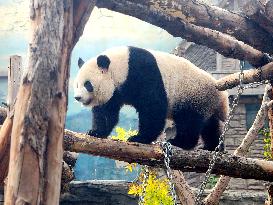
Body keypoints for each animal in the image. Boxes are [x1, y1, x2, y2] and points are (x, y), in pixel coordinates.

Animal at [73, 46, 227, 151]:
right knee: (210, 125)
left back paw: (180, 142)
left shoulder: (142, 72)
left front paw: (139, 138)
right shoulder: (114, 93)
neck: (120, 67)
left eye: (88, 84)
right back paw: (211, 147)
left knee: (189, 120)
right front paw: (96, 132)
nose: (77, 97)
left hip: (192, 94)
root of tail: (220, 97)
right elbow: (106, 112)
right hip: (205, 102)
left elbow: (153, 107)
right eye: (77, 84)